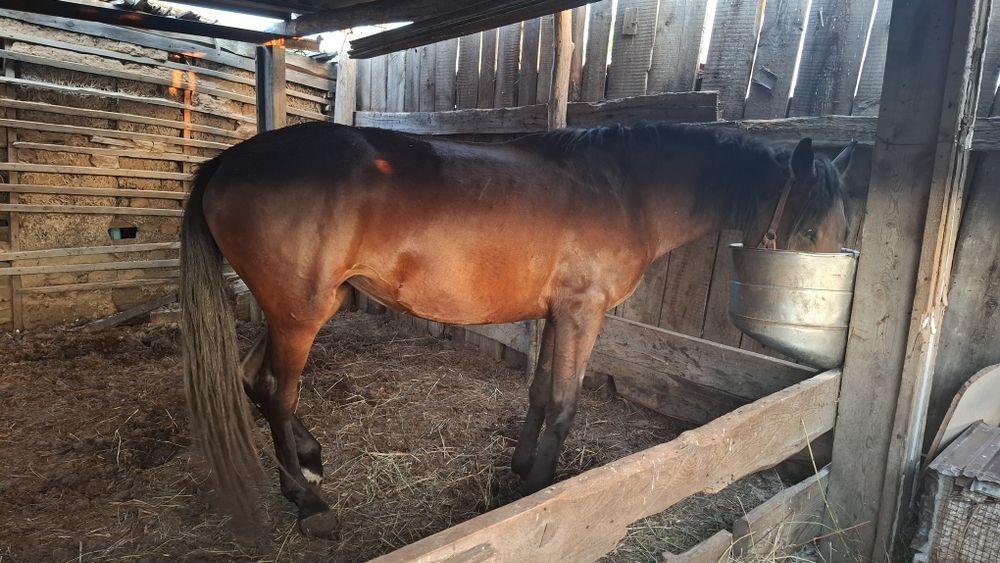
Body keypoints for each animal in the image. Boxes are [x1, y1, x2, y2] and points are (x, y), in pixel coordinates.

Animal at [180, 120, 855, 535]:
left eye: (839, 229)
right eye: (805, 229)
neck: (625, 190)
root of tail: (227, 162)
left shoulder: (558, 313)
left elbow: (538, 393)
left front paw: (523, 466)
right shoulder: (584, 312)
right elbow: (563, 402)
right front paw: (538, 487)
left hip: (296, 311)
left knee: (252, 378)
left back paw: (311, 462)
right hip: (300, 313)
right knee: (275, 392)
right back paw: (309, 502)